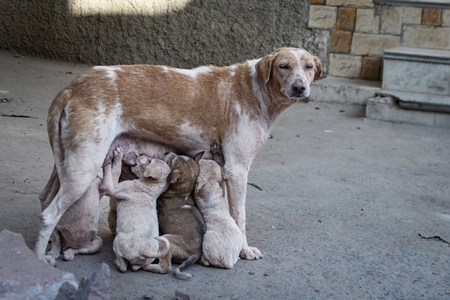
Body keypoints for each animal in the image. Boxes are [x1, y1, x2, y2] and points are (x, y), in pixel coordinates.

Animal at [102, 146, 171, 274]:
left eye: (149, 161)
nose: (140, 154)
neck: (150, 187)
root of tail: (144, 251)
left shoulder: (114, 188)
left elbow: (115, 172)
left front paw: (117, 156)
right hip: (147, 258)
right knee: (136, 267)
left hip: (118, 241)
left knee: (123, 266)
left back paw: (116, 262)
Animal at [145, 151, 205, 280]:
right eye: (178, 154)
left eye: (172, 161)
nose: (166, 152)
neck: (181, 193)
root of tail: (197, 252)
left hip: (166, 240)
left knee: (165, 267)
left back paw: (148, 266)